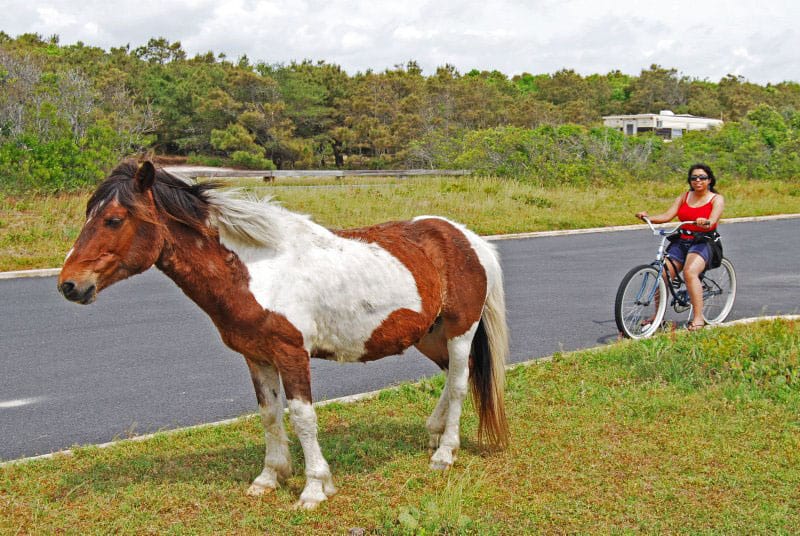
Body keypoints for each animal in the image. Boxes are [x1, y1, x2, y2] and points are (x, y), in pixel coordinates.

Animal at [58, 160, 510, 509]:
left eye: (114, 219)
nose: (69, 285)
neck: (257, 270)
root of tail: (468, 239)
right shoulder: (257, 356)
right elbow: (270, 414)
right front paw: (269, 478)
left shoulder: (292, 353)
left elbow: (302, 417)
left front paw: (314, 488)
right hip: (429, 336)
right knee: (453, 375)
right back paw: (434, 434)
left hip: (458, 331)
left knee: (459, 383)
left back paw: (445, 453)